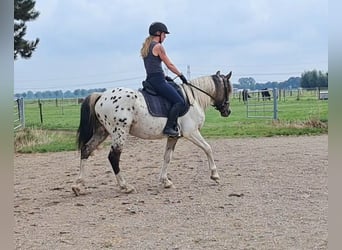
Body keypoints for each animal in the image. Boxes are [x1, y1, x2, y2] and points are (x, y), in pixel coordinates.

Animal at [72, 70, 232, 195]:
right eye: (228, 90)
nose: (227, 111)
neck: (193, 99)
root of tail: (100, 96)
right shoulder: (191, 133)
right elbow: (208, 148)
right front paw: (215, 175)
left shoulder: (173, 137)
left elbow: (167, 157)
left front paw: (165, 181)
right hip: (119, 133)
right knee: (113, 157)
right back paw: (125, 186)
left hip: (102, 132)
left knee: (86, 150)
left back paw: (78, 186)